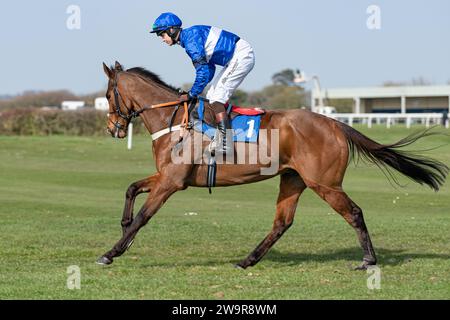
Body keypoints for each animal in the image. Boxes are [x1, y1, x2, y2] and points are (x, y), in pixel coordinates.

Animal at [97, 60, 446, 270]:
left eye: (108, 96)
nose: (113, 128)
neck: (173, 122)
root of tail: (334, 123)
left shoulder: (172, 182)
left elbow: (143, 217)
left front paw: (111, 252)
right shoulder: (165, 176)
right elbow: (131, 189)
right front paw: (123, 227)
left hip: (325, 183)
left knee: (354, 213)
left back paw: (368, 260)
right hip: (293, 179)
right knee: (282, 223)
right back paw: (247, 260)